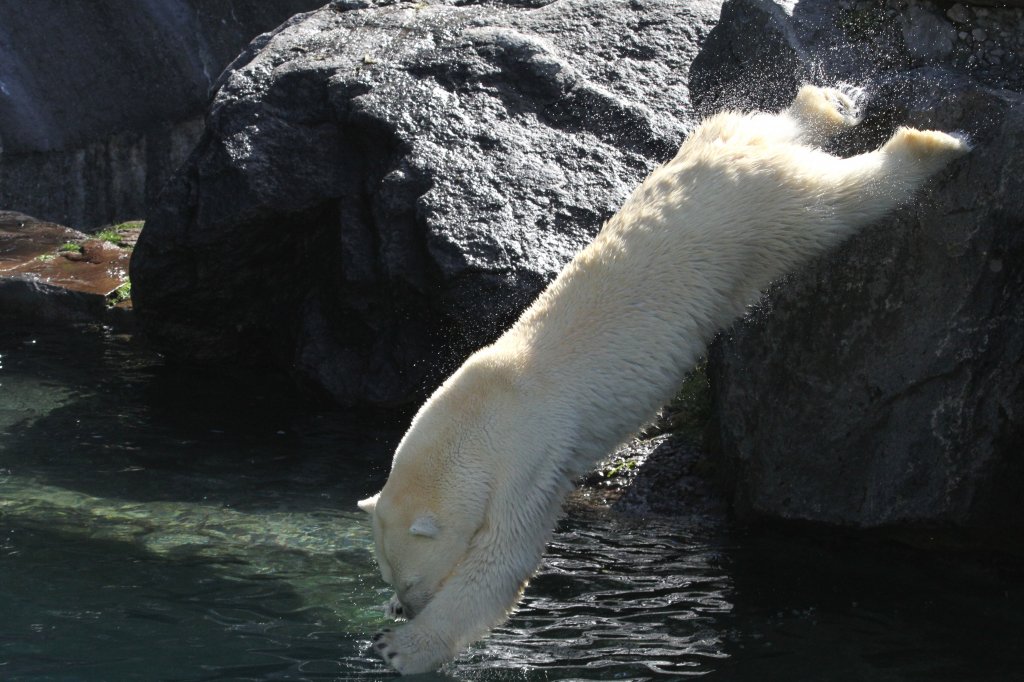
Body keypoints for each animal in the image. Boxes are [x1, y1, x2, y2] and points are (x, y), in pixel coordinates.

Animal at [358, 83, 966, 667]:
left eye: (410, 579)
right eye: (389, 576)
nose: (401, 605)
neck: (479, 410)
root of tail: (740, 158)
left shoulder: (527, 462)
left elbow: (502, 562)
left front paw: (400, 647)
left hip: (760, 216)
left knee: (836, 203)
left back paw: (929, 144)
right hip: (716, 142)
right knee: (777, 127)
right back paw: (826, 106)